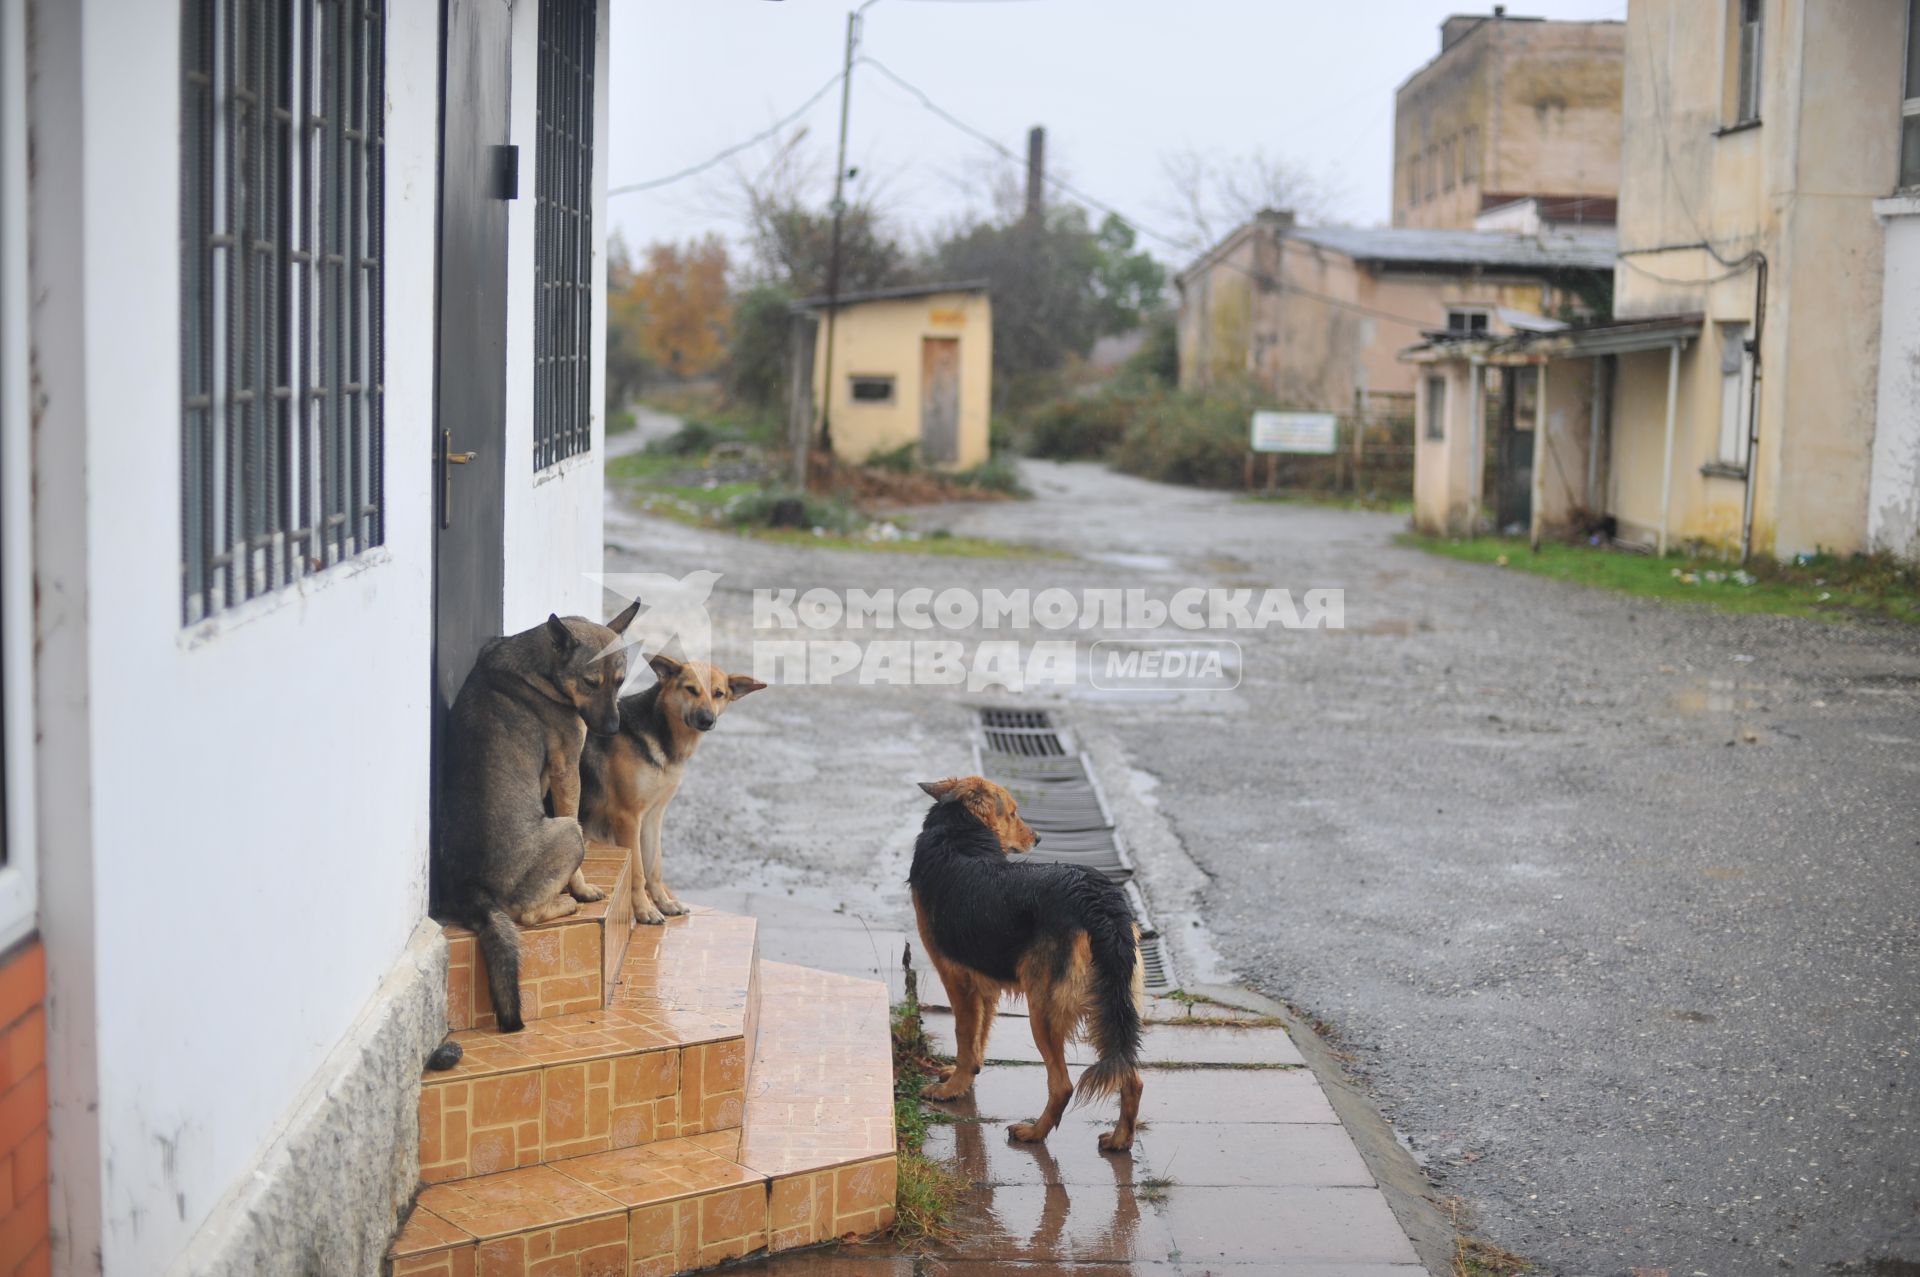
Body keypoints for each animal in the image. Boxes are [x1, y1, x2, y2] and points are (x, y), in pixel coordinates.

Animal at [437, 602, 641, 1029]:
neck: (542, 666)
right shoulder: (567, 772)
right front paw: (581, 890)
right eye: (590, 683)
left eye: (619, 682)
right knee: (526, 916)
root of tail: (471, 887)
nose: (612, 729)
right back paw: (566, 904)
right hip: (567, 833)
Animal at [576, 656, 764, 925]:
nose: (707, 719)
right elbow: (637, 871)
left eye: (718, 694)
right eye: (691, 690)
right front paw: (644, 910)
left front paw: (664, 904)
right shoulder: (628, 818)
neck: (661, 732)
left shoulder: (652, 817)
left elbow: (654, 867)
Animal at [910, 771, 1144, 1152]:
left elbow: (964, 1035)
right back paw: (1120, 1139)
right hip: (1112, 1006)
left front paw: (953, 1087)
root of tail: (1098, 901)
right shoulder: (984, 981)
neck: (959, 832)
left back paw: (1034, 1133)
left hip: (1044, 1011)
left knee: (1062, 1085)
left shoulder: (956, 978)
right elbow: (980, 1034)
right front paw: (965, 1074)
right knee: (1131, 1076)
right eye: (1013, 813)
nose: (1038, 837)